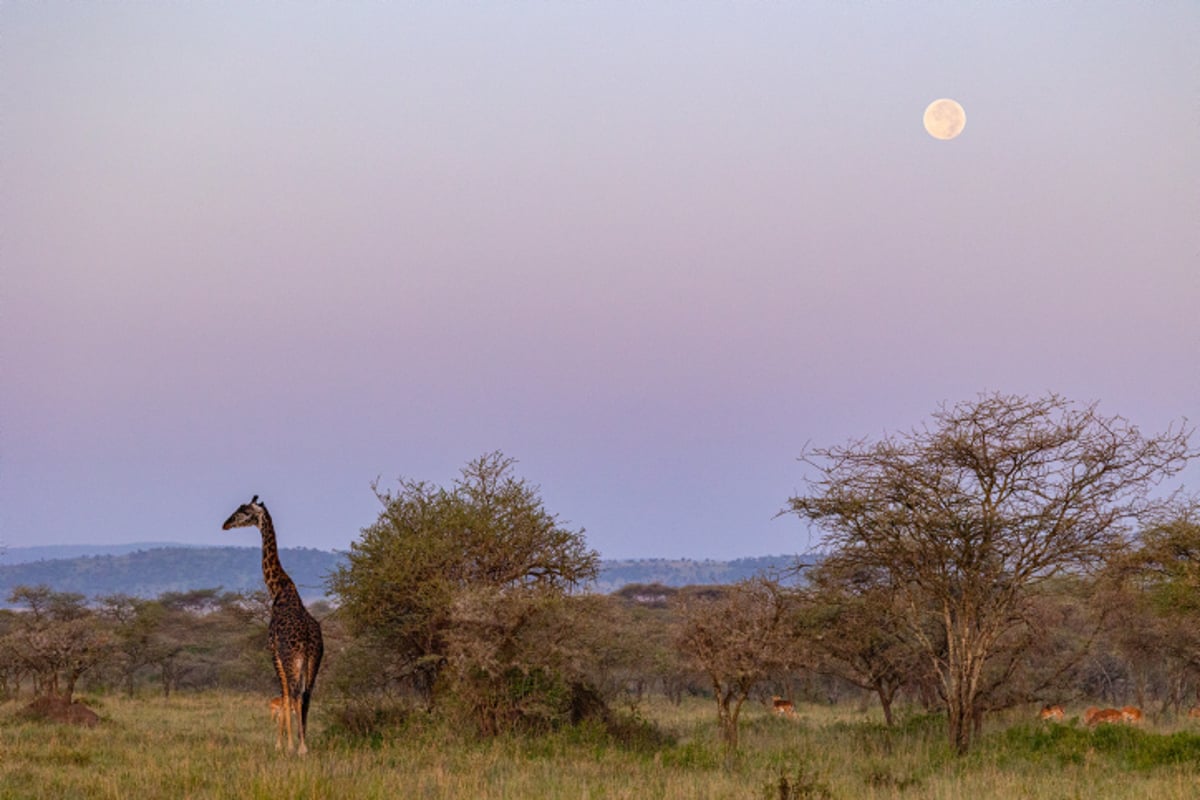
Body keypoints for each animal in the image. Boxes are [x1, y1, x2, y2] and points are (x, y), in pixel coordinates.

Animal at [222, 496, 324, 753]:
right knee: (307, 695)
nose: (225, 524)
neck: (279, 589)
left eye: (244, 511)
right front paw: (293, 742)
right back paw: (304, 744)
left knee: (295, 694)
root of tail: (307, 640)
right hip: (314, 660)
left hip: (291, 659)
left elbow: (285, 694)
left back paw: (299, 747)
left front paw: (285, 745)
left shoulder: (273, 651)